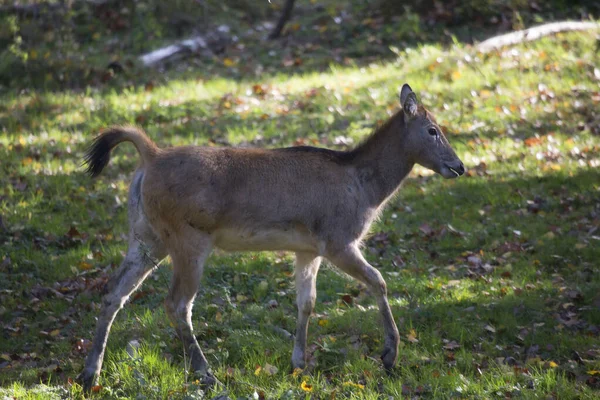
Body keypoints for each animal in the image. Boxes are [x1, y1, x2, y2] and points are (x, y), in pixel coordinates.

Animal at [78, 83, 464, 390]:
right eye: (432, 129)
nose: (459, 166)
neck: (365, 190)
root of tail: (150, 157)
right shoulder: (338, 240)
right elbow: (379, 281)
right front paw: (389, 355)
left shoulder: (308, 249)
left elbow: (306, 301)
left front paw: (298, 362)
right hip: (188, 237)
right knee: (176, 303)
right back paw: (205, 372)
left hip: (146, 236)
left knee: (113, 292)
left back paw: (90, 372)